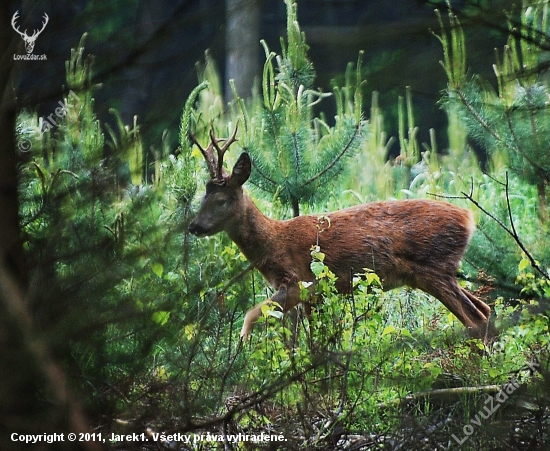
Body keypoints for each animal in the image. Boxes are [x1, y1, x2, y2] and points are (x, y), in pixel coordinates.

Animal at [188, 127, 494, 340]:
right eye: (203, 196)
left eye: (221, 200)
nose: (194, 226)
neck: (274, 242)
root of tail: (469, 219)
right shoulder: (311, 294)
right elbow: (304, 339)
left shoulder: (300, 281)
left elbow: (251, 316)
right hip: (441, 272)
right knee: (485, 310)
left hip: (433, 266)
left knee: (474, 318)